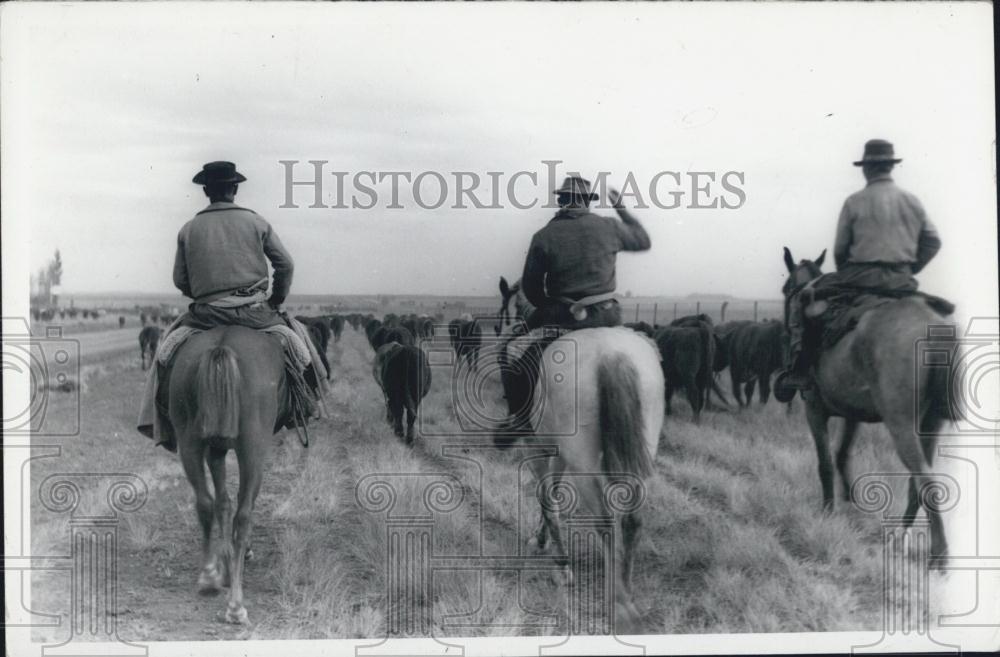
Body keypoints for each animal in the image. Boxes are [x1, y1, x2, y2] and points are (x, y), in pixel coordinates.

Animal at [169, 326, 290, 624]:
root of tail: (221, 345)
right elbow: (240, 504)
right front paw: (239, 556)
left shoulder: (215, 449)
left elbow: (222, 502)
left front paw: (223, 564)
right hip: (253, 448)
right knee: (243, 515)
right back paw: (236, 605)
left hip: (188, 441)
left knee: (204, 502)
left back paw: (208, 577)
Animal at [784, 249, 956, 568]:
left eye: (787, 287)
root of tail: (935, 329)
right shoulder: (853, 415)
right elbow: (841, 455)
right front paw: (851, 502)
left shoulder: (814, 410)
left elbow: (825, 463)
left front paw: (828, 511)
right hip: (931, 424)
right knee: (918, 480)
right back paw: (901, 535)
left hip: (901, 426)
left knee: (925, 478)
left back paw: (939, 555)